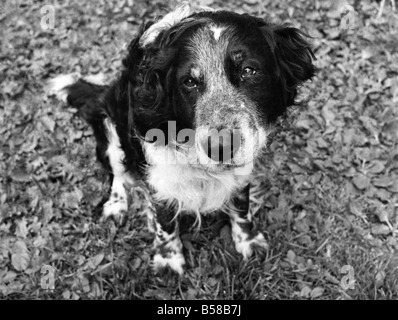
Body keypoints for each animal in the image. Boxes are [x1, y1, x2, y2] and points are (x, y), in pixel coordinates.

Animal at [49, 1, 316, 276]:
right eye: (189, 82)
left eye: (249, 71)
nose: (220, 147)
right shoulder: (159, 176)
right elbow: (165, 221)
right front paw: (168, 259)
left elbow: (242, 205)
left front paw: (248, 240)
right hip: (111, 130)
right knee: (118, 172)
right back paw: (116, 204)